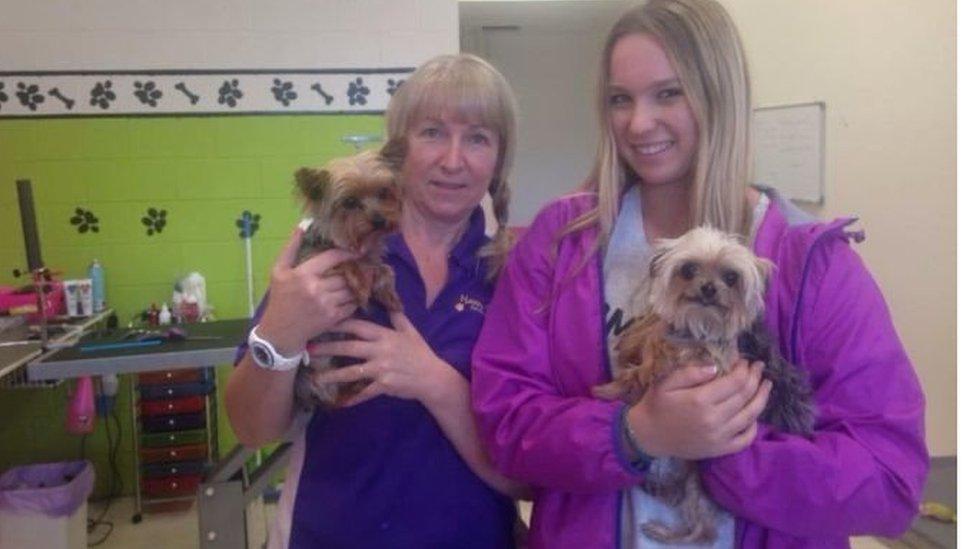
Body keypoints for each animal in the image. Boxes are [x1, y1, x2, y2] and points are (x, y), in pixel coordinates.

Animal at [288, 149, 402, 406]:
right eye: (349, 202)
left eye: (383, 192)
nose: (379, 220)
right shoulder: (311, 263)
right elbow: (346, 262)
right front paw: (360, 287)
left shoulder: (371, 260)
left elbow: (384, 270)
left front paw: (390, 296)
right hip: (308, 378)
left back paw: (360, 383)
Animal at [596, 226, 816, 544]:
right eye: (688, 269)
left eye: (731, 277)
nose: (709, 288)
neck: (697, 325)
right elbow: (652, 332)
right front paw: (633, 347)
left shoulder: (706, 361)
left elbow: (652, 365)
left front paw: (616, 385)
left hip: (699, 486)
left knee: (702, 530)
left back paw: (665, 531)